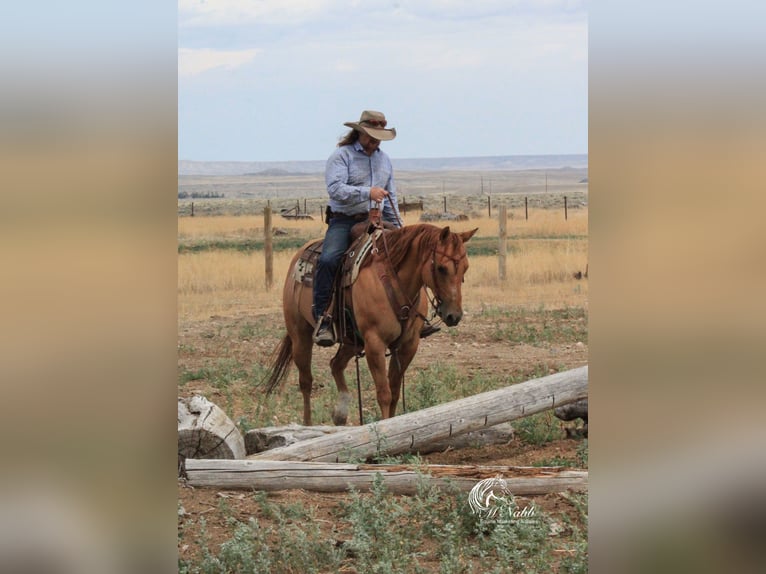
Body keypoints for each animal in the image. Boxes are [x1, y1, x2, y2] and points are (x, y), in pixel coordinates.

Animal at [266, 225, 480, 428]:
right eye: (442, 268)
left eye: (466, 268)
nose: (454, 315)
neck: (393, 281)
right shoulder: (375, 344)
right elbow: (384, 393)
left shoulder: (408, 345)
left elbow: (394, 391)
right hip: (300, 335)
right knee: (306, 381)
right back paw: (308, 424)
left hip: (352, 342)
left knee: (335, 364)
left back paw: (340, 413)